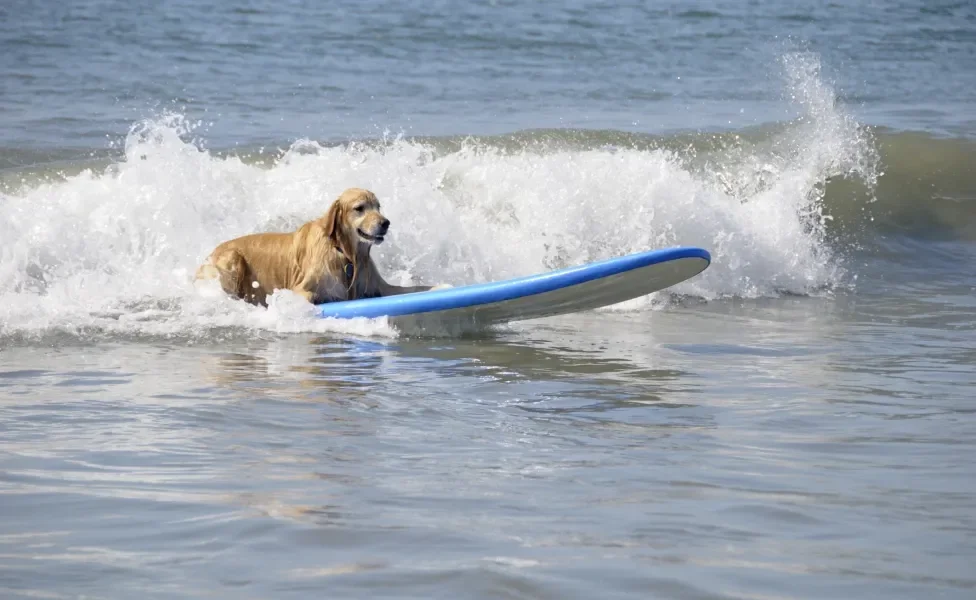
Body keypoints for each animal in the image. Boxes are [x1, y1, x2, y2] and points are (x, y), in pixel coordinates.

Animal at [196, 188, 448, 308]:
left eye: (378, 206)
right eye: (360, 208)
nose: (385, 223)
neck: (346, 255)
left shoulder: (380, 288)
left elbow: (416, 289)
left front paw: (441, 286)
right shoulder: (300, 290)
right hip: (231, 259)